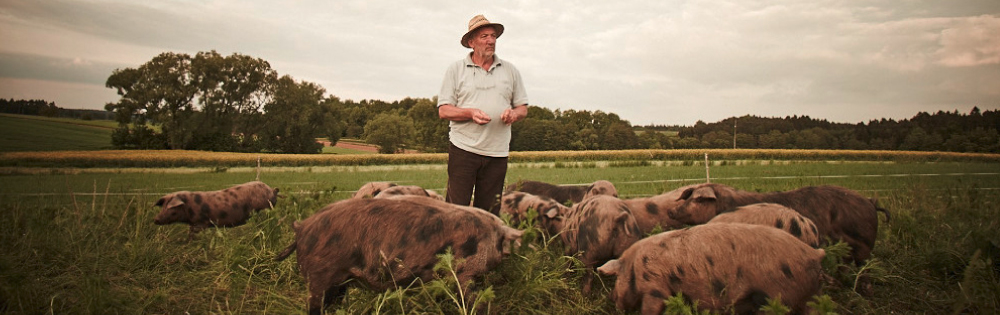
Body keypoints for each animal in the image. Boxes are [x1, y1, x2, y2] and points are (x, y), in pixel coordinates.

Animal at [152, 181, 280, 241]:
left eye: (172, 208)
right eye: (163, 207)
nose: (155, 219)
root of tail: (272, 190)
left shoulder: (200, 223)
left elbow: (194, 235)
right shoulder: (193, 223)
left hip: (263, 210)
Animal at [596, 223, 824, 314]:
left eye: (617, 279)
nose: (611, 298)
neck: (635, 267)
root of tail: (814, 253)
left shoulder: (655, 288)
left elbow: (650, 308)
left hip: (776, 296)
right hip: (808, 297)